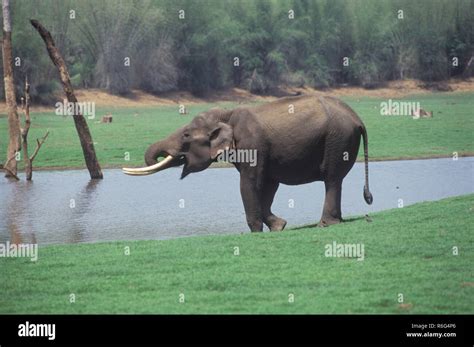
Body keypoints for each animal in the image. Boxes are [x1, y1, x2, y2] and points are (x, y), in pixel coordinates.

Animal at [123, 94, 374, 232]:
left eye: (186, 135)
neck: (227, 114)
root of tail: (358, 119)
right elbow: (269, 185)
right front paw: (279, 226)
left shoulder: (252, 144)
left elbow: (249, 183)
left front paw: (257, 231)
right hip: (340, 139)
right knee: (335, 179)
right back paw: (334, 221)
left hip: (337, 139)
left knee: (331, 178)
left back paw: (326, 224)